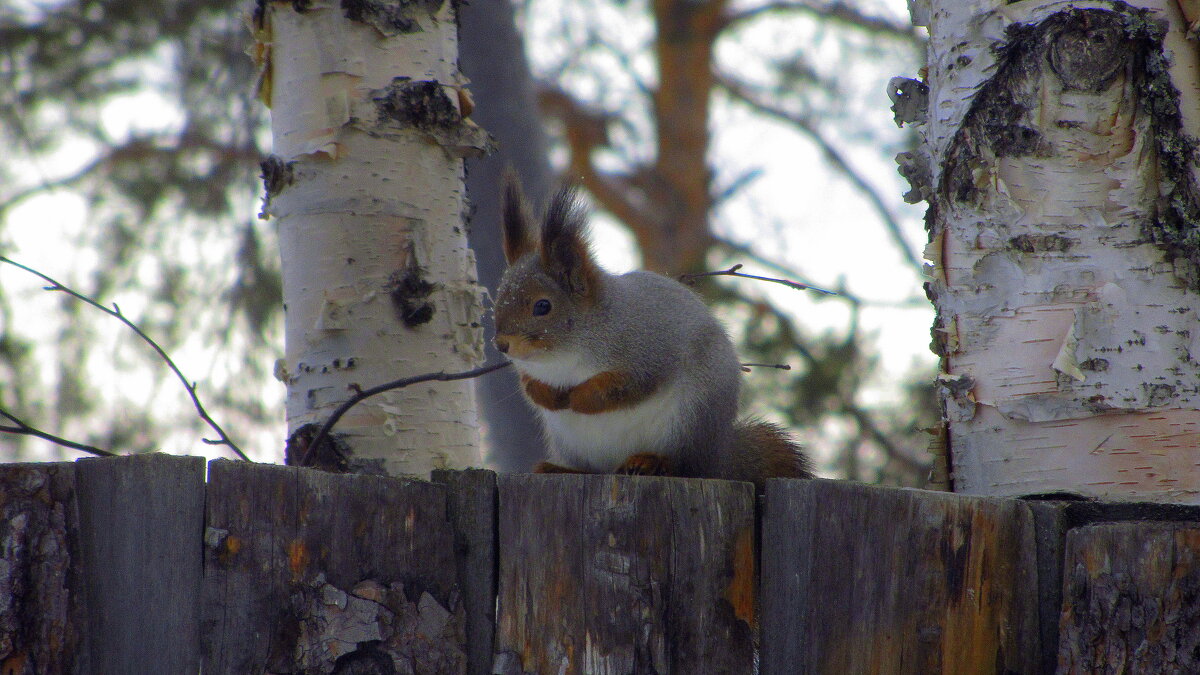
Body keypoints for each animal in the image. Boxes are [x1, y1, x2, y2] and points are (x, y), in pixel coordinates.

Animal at [489, 172, 816, 487]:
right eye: (498, 298)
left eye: (543, 306)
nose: (501, 344)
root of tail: (719, 458)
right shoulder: (531, 370)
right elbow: (530, 385)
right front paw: (549, 396)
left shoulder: (648, 351)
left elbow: (627, 387)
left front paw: (577, 398)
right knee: (594, 469)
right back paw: (561, 468)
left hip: (689, 423)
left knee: (685, 467)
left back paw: (650, 461)